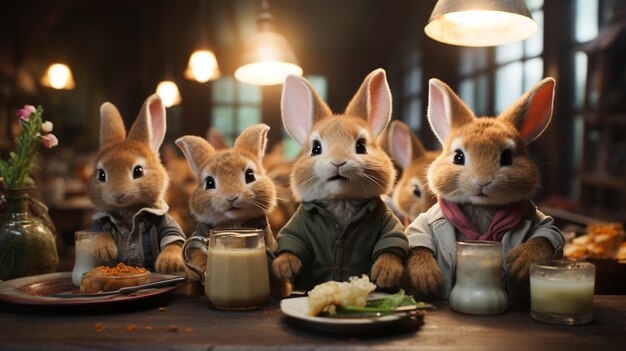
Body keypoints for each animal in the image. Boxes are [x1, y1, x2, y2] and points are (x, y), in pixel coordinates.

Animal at [87, 95, 185, 274]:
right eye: (101, 174)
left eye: (138, 171)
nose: (118, 194)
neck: (128, 211)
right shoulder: (100, 222)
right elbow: (98, 232)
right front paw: (104, 250)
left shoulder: (165, 221)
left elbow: (173, 238)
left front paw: (168, 264)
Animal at [270, 67, 408, 292]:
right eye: (316, 148)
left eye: (361, 146)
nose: (338, 162)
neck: (341, 200)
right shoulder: (298, 223)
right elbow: (292, 242)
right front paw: (284, 267)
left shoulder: (387, 221)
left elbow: (391, 242)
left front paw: (386, 274)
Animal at [404, 77, 564, 300]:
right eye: (458, 157)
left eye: (507, 158)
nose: (482, 181)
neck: (480, 206)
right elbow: (418, 237)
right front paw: (426, 278)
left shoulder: (540, 222)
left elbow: (548, 232)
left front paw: (522, 262)